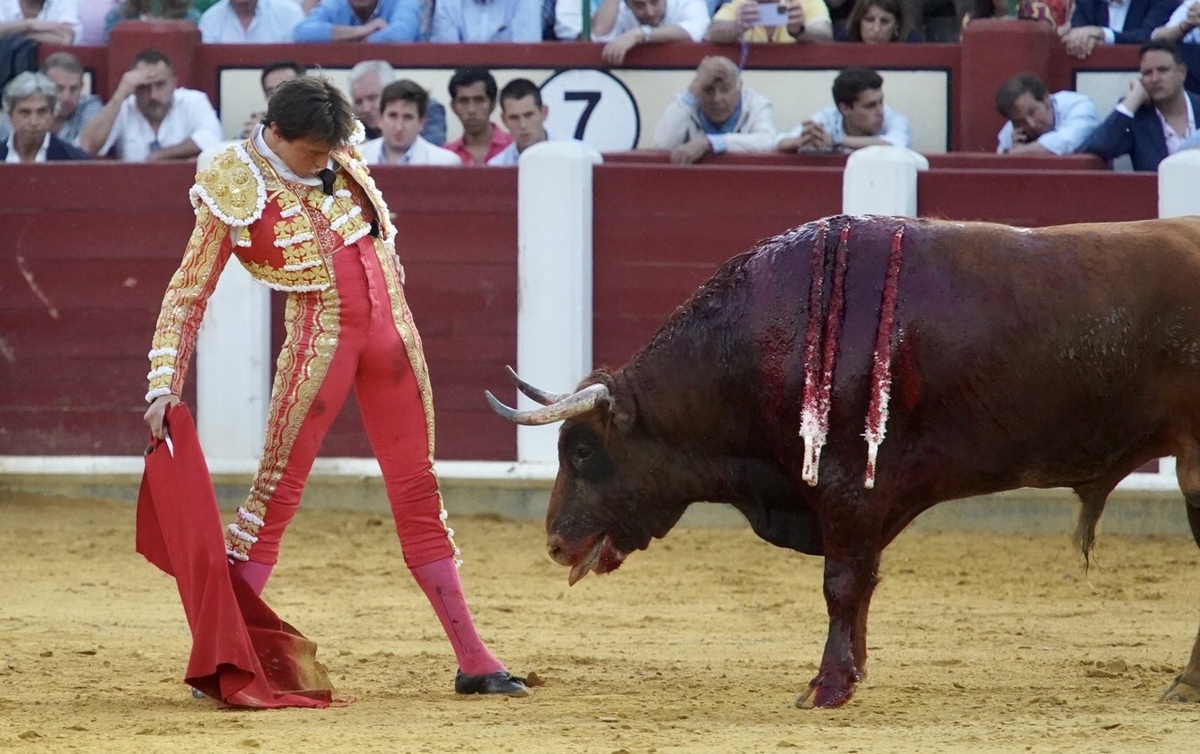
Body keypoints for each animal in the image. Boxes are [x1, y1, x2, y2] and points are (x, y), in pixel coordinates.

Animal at [482, 214, 1200, 710]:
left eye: (582, 450)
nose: (555, 543)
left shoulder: (849, 492)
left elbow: (842, 585)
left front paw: (825, 688)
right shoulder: (865, 505)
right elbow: (861, 590)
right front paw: (849, 675)